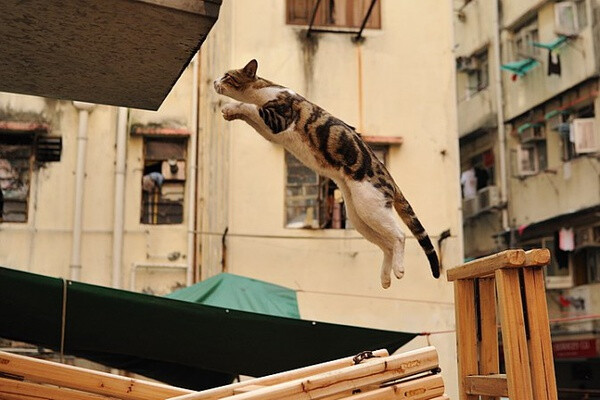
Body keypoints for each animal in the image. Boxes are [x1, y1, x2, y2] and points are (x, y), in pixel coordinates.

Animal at [213, 58, 438, 288]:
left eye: (227, 75)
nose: (214, 81)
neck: (263, 90)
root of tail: (389, 178)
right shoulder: (269, 131)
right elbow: (249, 113)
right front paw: (231, 113)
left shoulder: (277, 118)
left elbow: (250, 107)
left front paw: (230, 107)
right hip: (359, 215)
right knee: (387, 244)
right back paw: (385, 278)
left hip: (371, 206)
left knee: (399, 236)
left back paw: (399, 269)